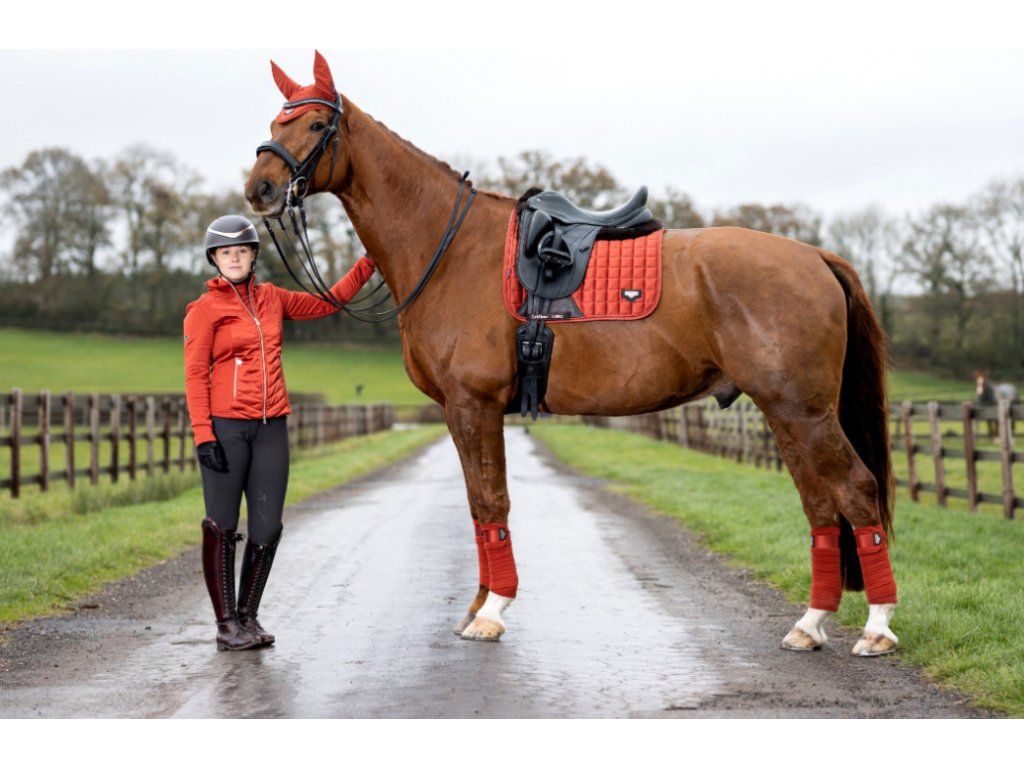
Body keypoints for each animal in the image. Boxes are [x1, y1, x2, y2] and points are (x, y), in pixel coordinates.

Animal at [244, 52, 899, 657]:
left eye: (313, 124)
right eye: (274, 121)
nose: (260, 190)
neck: (450, 249)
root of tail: (815, 256)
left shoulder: (474, 405)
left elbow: (492, 501)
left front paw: (493, 611)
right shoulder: (459, 412)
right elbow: (478, 508)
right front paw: (479, 604)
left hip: (803, 412)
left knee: (856, 491)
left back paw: (876, 628)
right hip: (785, 412)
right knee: (820, 506)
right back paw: (810, 624)